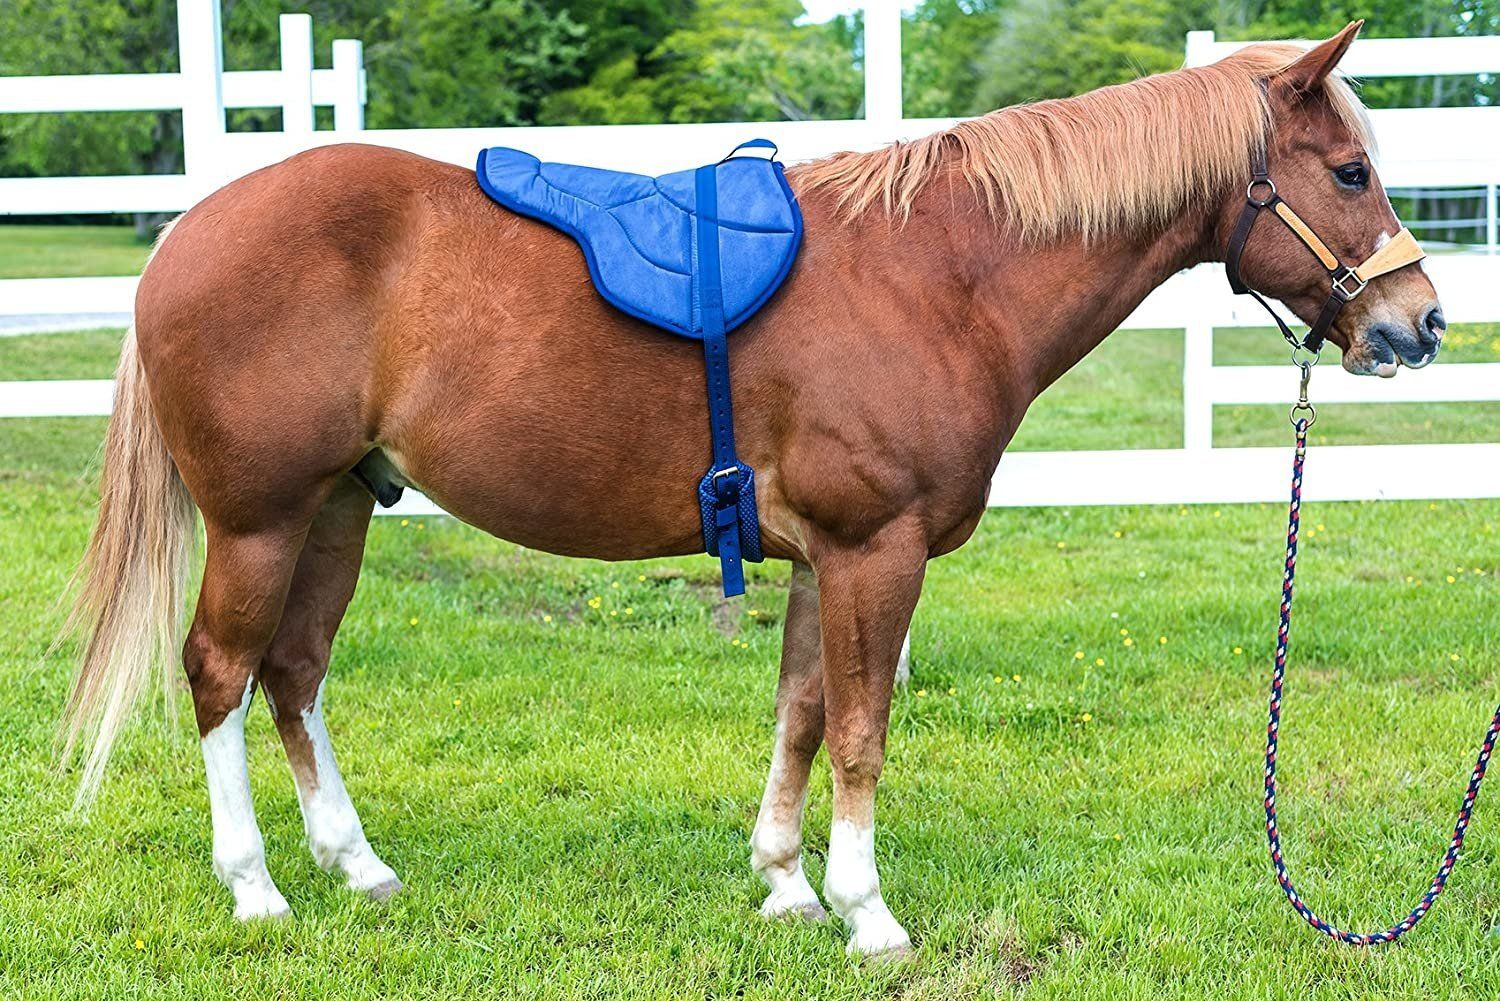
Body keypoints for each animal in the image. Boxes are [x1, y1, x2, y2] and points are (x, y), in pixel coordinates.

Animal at [58, 22, 1442, 957]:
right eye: (1350, 172)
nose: (1421, 323)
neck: (943, 272)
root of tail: (185, 232)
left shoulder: (823, 556)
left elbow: (802, 713)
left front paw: (784, 879)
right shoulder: (875, 550)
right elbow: (865, 729)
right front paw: (867, 910)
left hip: (342, 505)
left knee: (294, 671)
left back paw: (357, 863)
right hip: (261, 518)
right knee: (221, 672)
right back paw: (256, 883)